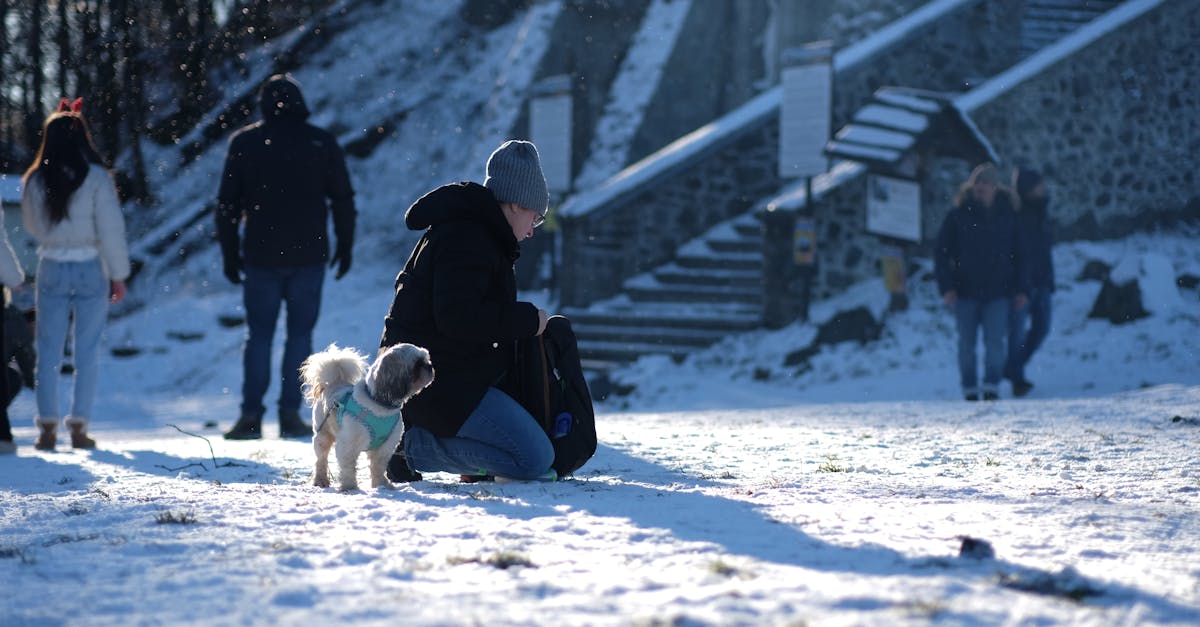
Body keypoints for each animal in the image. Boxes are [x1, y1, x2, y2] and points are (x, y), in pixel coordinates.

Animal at [300, 341, 436, 487]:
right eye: (418, 364)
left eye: (427, 359)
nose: (430, 366)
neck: (379, 404)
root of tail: (334, 383)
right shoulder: (348, 444)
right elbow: (348, 467)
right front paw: (349, 487)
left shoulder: (385, 447)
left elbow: (378, 466)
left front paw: (381, 485)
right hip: (323, 435)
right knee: (321, 460)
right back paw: (320, 480)